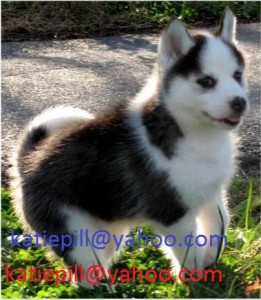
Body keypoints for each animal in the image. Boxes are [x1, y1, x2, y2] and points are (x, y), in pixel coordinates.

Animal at [11, 7, 248, 286]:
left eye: (237, 76)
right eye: (207, 81)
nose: (240, 103)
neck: (194, 133)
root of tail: (29, 162)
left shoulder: (210, 193)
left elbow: (220, 223)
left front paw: (211, 259)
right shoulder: (173, 213)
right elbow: (188, 251)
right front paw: (193, 281)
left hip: (108, 231)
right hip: (74, 235)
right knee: (84, 273)